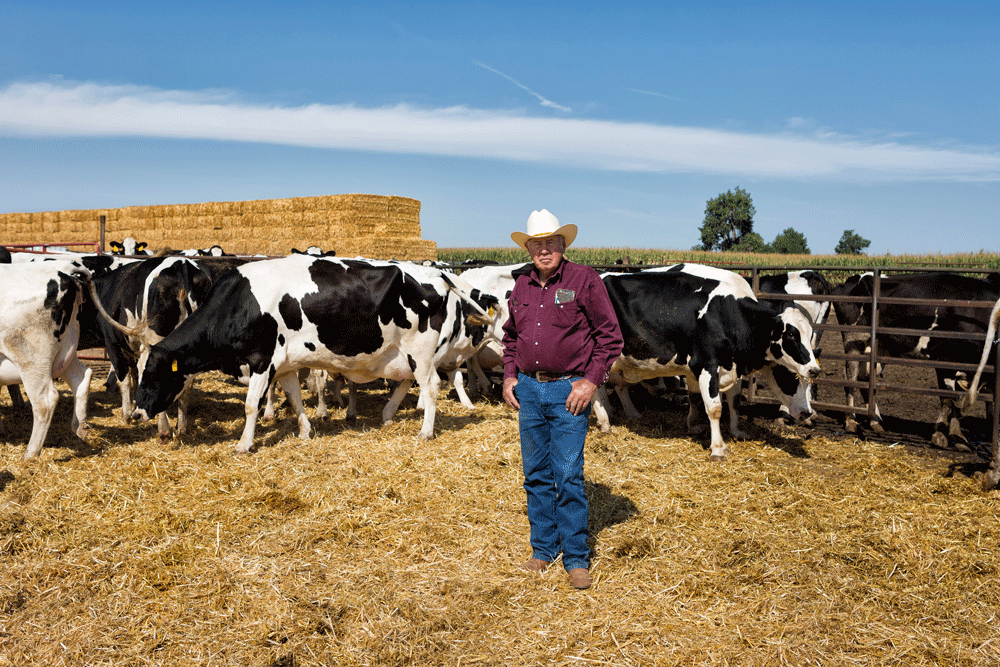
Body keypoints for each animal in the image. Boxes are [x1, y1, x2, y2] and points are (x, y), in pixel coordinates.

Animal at [0, 260, 93, 460]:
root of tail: (65, 273)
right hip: (67, 352)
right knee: (81, 377)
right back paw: (80, 427)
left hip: (32, 361)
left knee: (45, 401)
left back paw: (30, 454)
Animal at [128, 256, 500, 454]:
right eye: (139, 372)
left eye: (153, 375)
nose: (137, 412)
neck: (238, 302)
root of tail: (435, 272)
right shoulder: (283, 364)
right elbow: (294, 398)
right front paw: (306, 430)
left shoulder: (261, 360)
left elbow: (250, 406)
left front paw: (244, 444)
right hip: (399, 354)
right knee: (408, 383)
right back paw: (387, 415)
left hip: (419, 351)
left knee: (431, 387)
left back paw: (425, 431)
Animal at [592, 264, 820, 460]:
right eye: (791, 335)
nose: (814, 369)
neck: (729, 315)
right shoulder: (706, 365)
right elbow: (714, 408)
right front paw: (718, 448)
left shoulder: (727, 367)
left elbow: (728, 401)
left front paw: (729, 430)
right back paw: (605, 422)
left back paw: (626, 414)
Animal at [828, 272, 1000, 454]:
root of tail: (853, 278)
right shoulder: (944, 361)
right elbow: (948, 400)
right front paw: (940, 436)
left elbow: (959, 402)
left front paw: (958, 438)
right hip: (854, 340)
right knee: (850, 377)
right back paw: (851, 421)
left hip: (877, 347)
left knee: (865, 378)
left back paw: (875, 421)